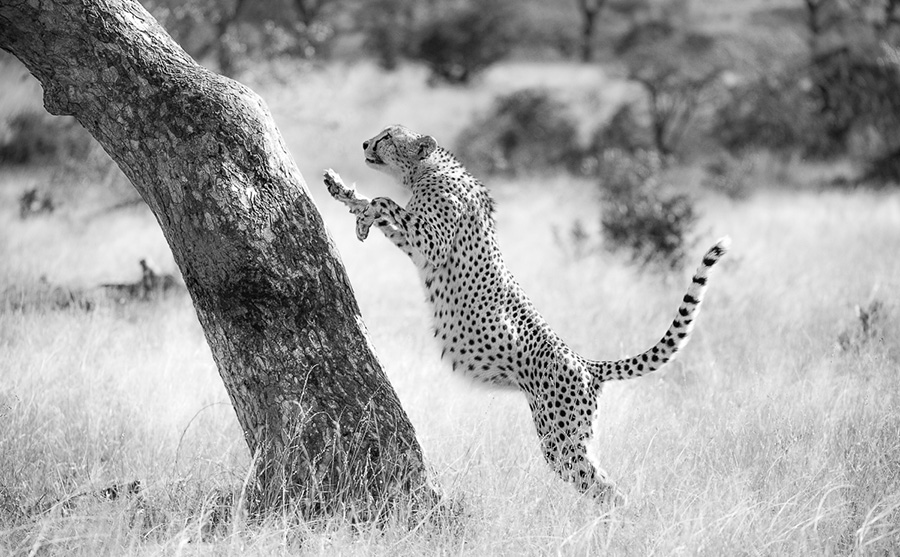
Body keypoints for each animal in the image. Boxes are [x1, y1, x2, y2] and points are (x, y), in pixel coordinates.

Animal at [326, 125, 732, 504]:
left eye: (388, 136)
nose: (365, 143)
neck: (427, 169)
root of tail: (587, 363)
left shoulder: (432, 242)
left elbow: (385, 202)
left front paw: (363, 209)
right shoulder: (415, 243)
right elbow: (379, 211)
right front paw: (344, 196)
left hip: (559, 439)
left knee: (605, 487)